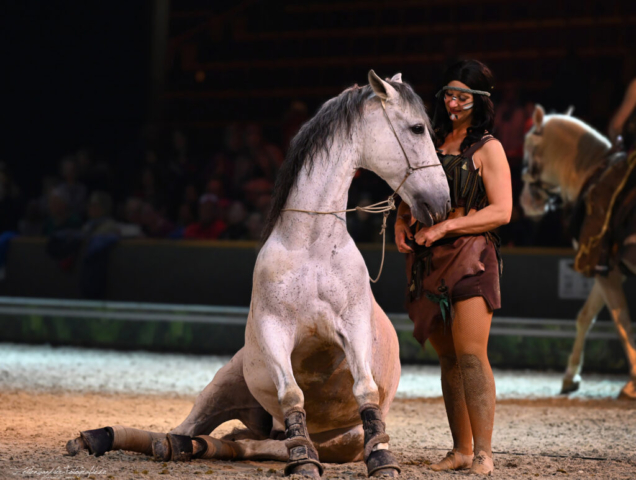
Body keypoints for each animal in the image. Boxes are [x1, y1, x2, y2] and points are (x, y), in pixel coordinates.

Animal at [67, 70, 450, 476]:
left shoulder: (353, 327)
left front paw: (381, 459)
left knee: (251, 442)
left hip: (336, 438)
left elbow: (365, 388)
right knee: (185, 431)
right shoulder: (274, 330)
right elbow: (292, 393)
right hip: (224, 384)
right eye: (417, 128)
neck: (311, 248)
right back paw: (118, 439)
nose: (442, 202)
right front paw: (305, 463)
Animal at [520, 105, 636, 402]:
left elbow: (622, 323)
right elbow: (585, 317)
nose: (526, 202)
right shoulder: (608, 271)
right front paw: (570, 376)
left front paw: (632, 382)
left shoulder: (604, 271)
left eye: (528, 153)